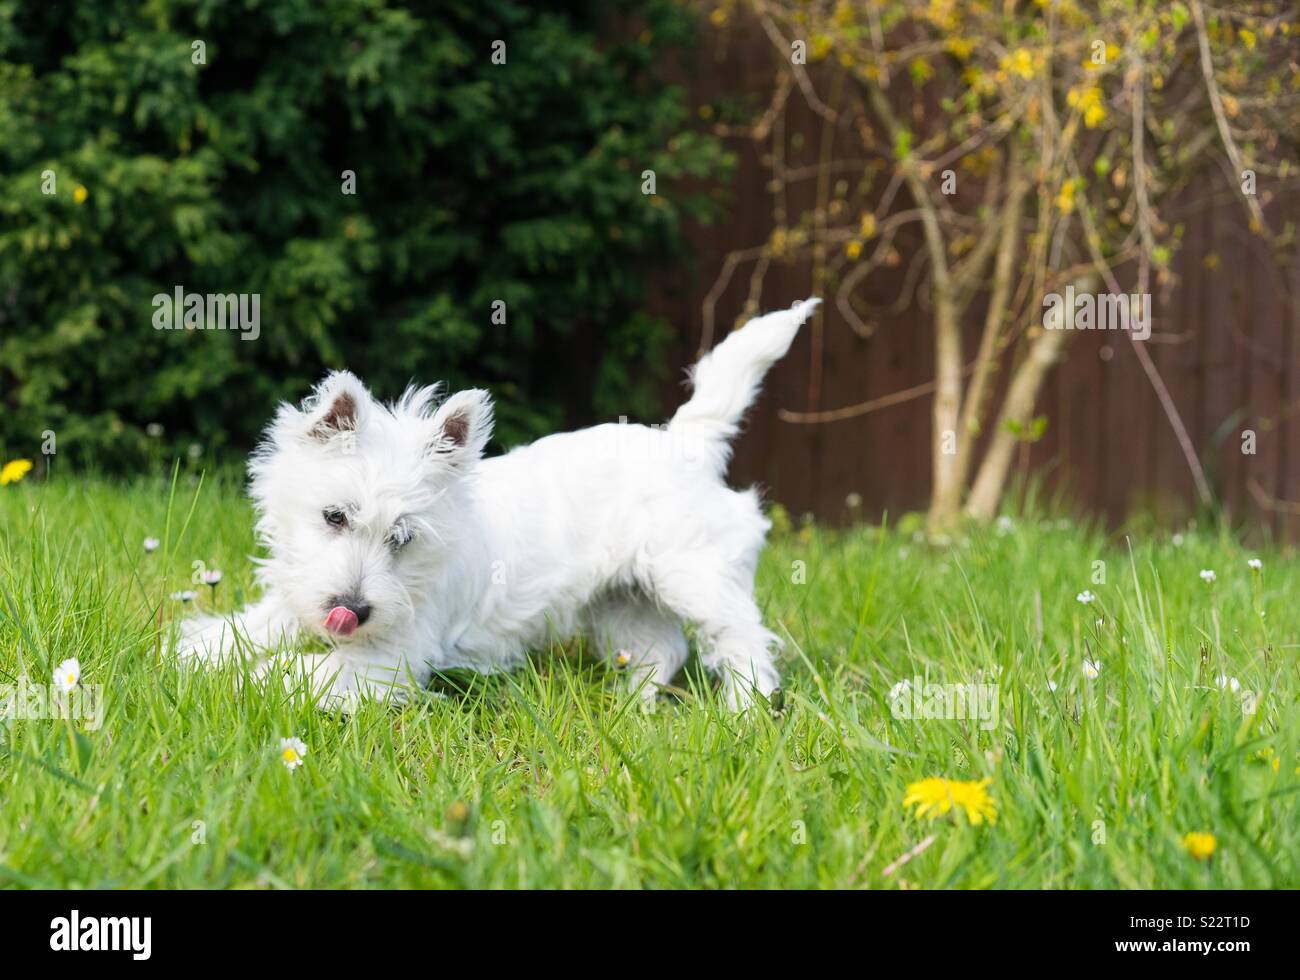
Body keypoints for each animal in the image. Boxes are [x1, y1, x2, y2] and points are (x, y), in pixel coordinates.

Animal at [178, 293, 816, 707]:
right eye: (334, 517)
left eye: (403, 538)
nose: (353, 611)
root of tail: (688, 443)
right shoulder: (296, 599)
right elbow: (244, 630)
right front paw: (189, 657)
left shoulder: (391, 658)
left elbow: (299, 672)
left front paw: (244, 683)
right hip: (624, 599)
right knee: (661, 649)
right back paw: (630, 706)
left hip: (695, 577)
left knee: (741, 641)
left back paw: (743, 714)